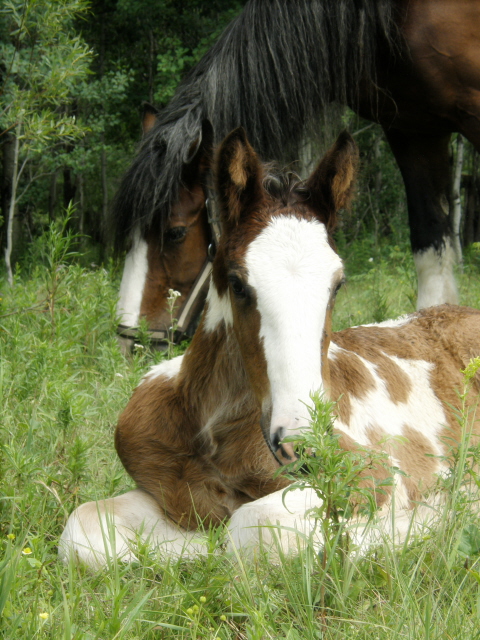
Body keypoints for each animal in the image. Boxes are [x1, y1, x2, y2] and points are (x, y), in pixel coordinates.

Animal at [61, 129, 480, 564]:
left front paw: (417, 523)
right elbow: (83, 527)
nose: (301, 444)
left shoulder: (374, 476)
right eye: (238, 282)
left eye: (338, 284)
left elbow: (252, 529)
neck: (216, 429)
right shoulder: (169, 489)